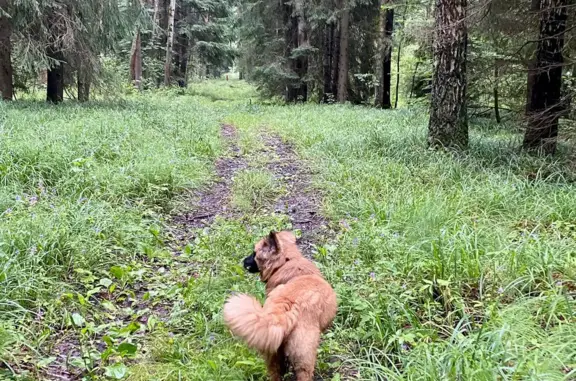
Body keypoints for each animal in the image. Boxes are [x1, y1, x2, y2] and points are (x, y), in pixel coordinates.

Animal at [222, 230, 338, 378]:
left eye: (254, 253)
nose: (244, 261)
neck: (285, 262)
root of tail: (285, 309)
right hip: (304, 358)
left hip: (273, 351)